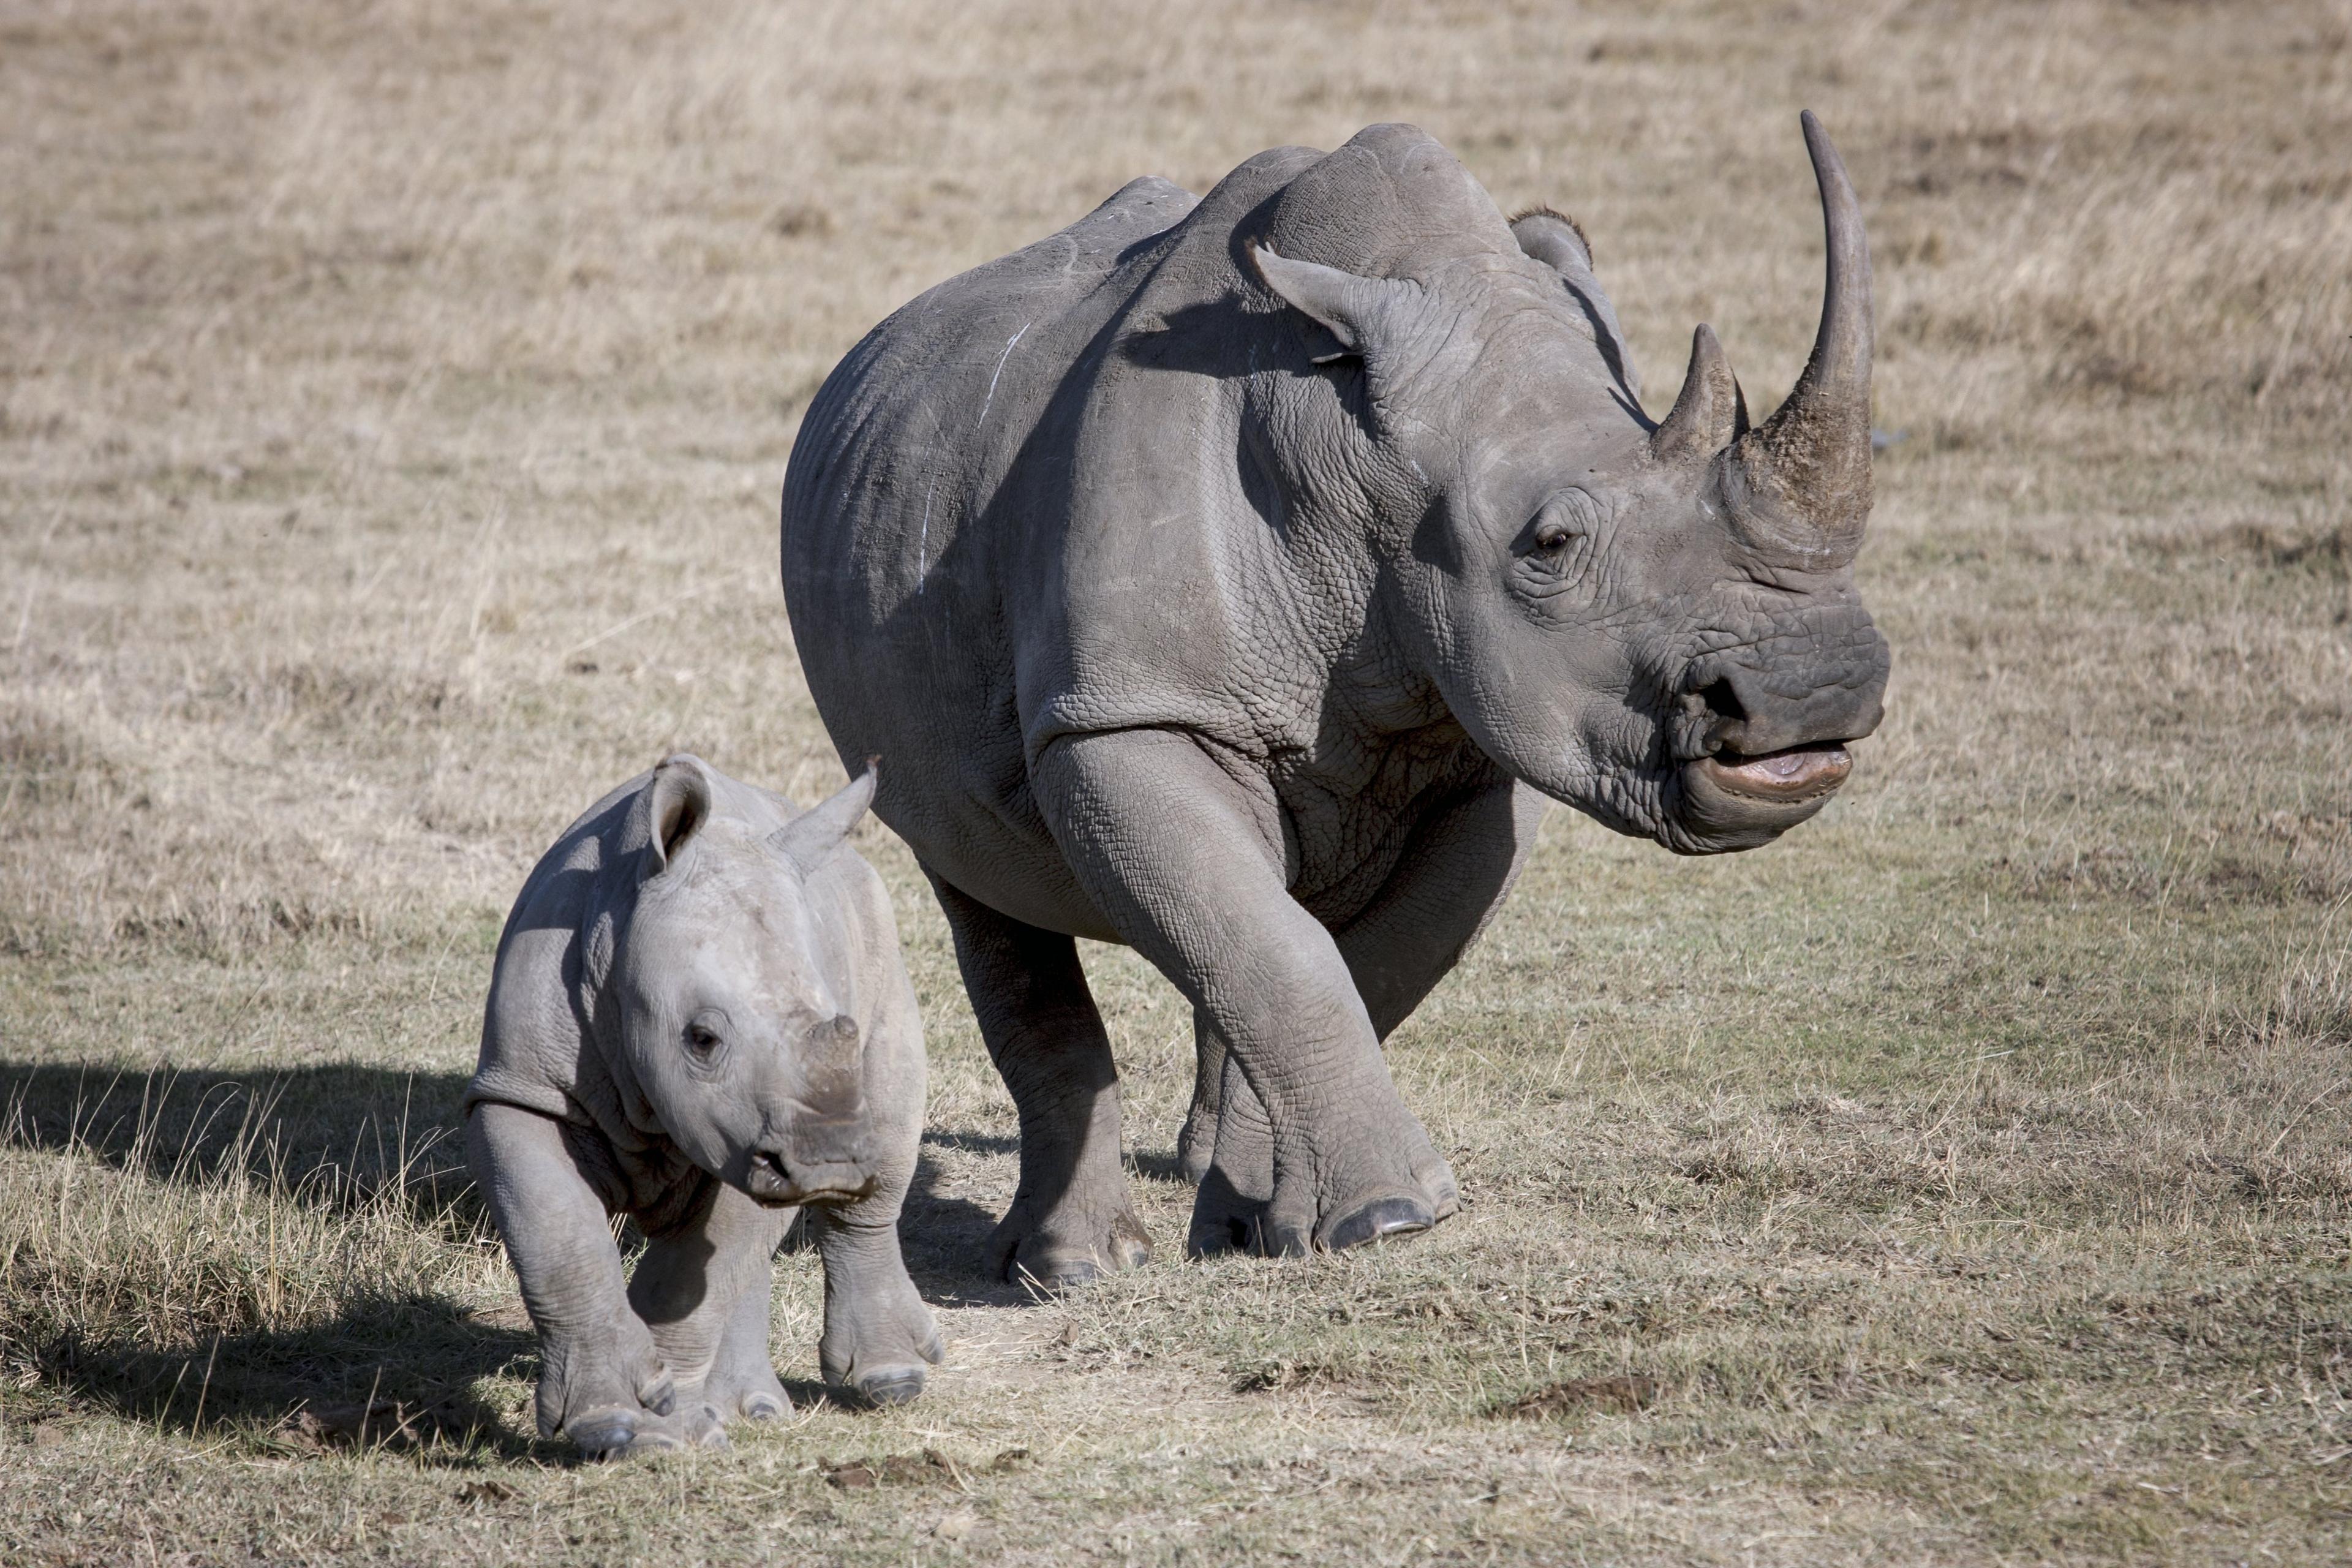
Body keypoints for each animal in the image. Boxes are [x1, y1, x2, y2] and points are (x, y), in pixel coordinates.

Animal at [463, 752, 941, 1457]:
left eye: (841, 1027)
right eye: (702, 1038)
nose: (829, 1164)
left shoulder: (755, 1138)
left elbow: (693, 1279)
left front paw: (664, 1427)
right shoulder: (521, 1089)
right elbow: (560, 1237)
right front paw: (619, 1423)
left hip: (880, 935)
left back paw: (891, 1382)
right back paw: (753, 1409)